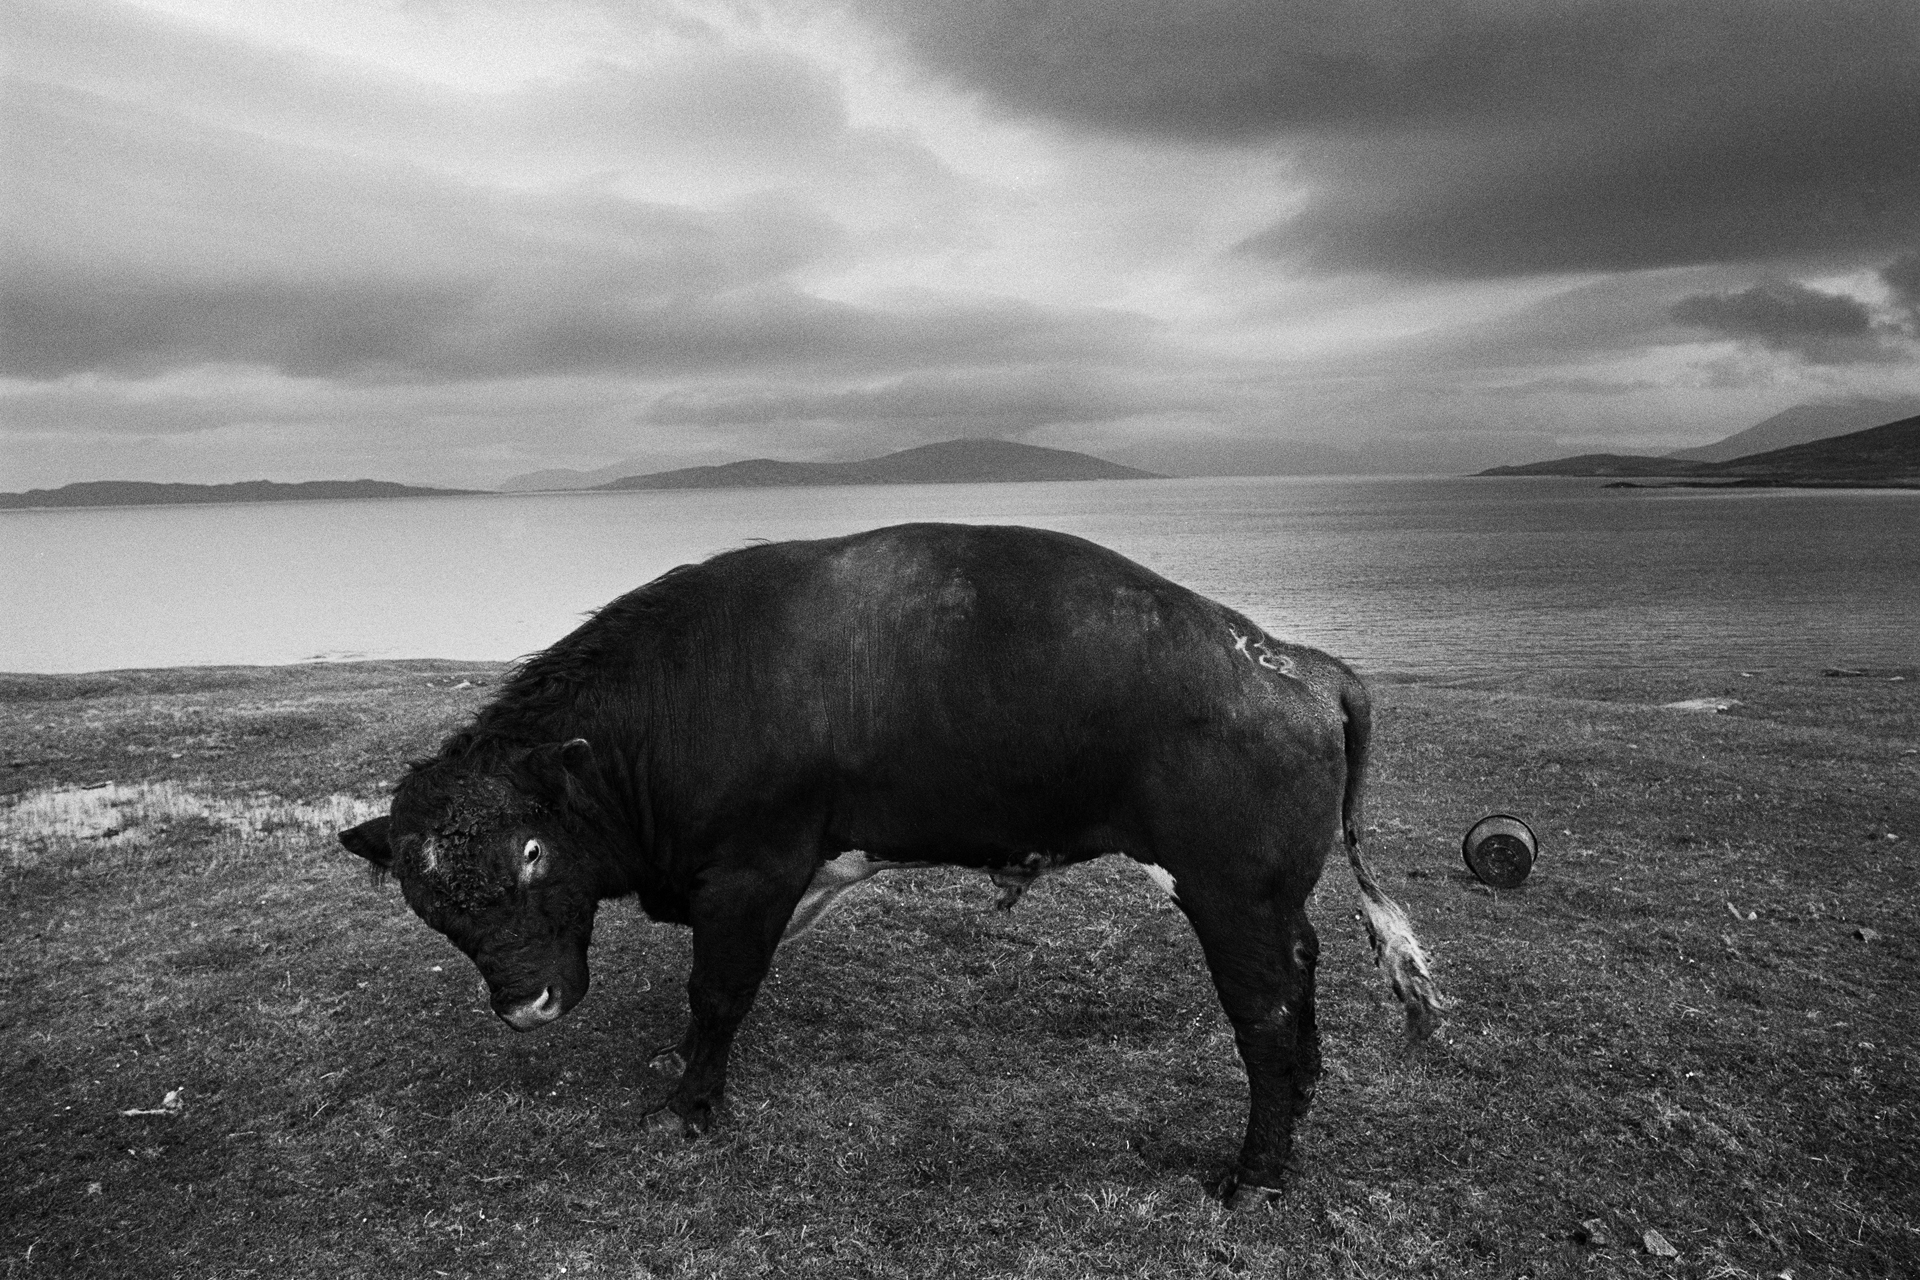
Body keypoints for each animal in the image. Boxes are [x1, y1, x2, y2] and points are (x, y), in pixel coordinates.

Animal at [337, 521, 1443, 1205]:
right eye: (427, 900)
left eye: (532, 850)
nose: (525, 1003)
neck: (665, 710)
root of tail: (1293, 659)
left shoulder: (754, 871)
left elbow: (717, 991)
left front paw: (692, 1105)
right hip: (1263, 898)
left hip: (1234, 898)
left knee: (1270, 1023)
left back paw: (1253, 1176)